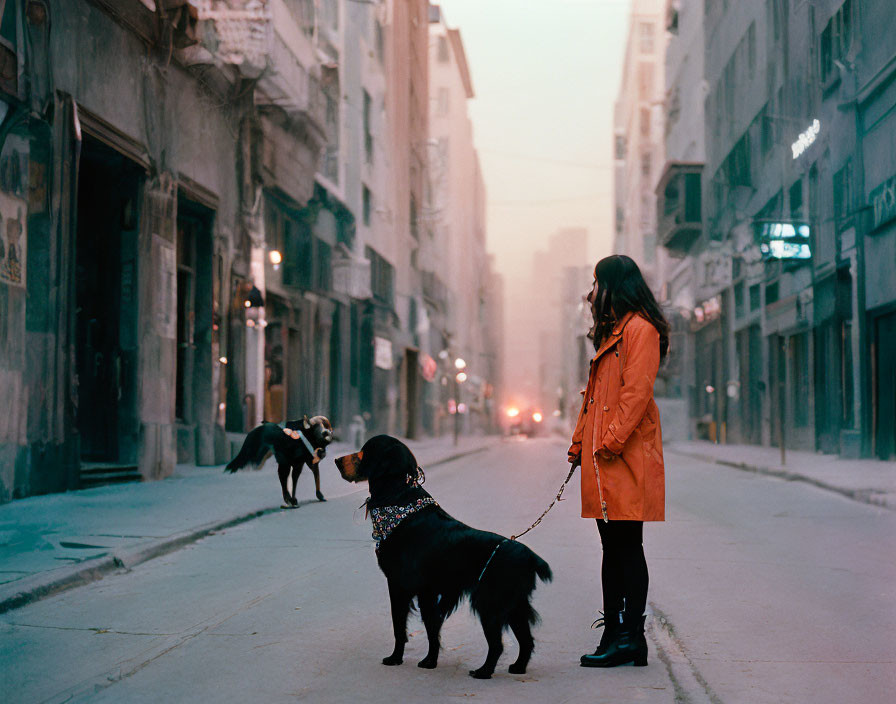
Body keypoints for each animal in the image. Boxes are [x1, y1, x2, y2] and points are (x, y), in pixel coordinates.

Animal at [334, 438, 548, 680]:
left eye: (365, 451)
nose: (336, 460)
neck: (398, 505)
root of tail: (531, 557)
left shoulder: (403, 585)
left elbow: (404, 626)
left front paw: (402, 659)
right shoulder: (425, 591)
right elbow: (430, 628)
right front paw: (428, 660)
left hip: (489, 603)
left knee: (497, 644)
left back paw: (483, 671)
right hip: (514, 605)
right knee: (526, 640)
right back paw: (518, 667)